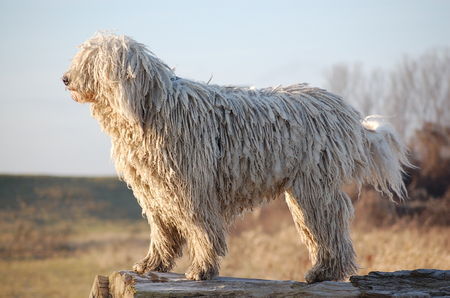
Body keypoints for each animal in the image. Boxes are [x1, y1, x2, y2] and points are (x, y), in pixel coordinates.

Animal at [63, 33, 412, 282]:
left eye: (90, 60)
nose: (65, 78)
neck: (153, 109)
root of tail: (344, 111)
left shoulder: (193, 187)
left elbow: (202, 229)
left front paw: (201, 270)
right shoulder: (155, 191)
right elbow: (162, 232)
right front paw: (151, 264)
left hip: (314, 184)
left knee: (331, 225)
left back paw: (325, 272)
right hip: (303, 190)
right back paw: (322, 272)